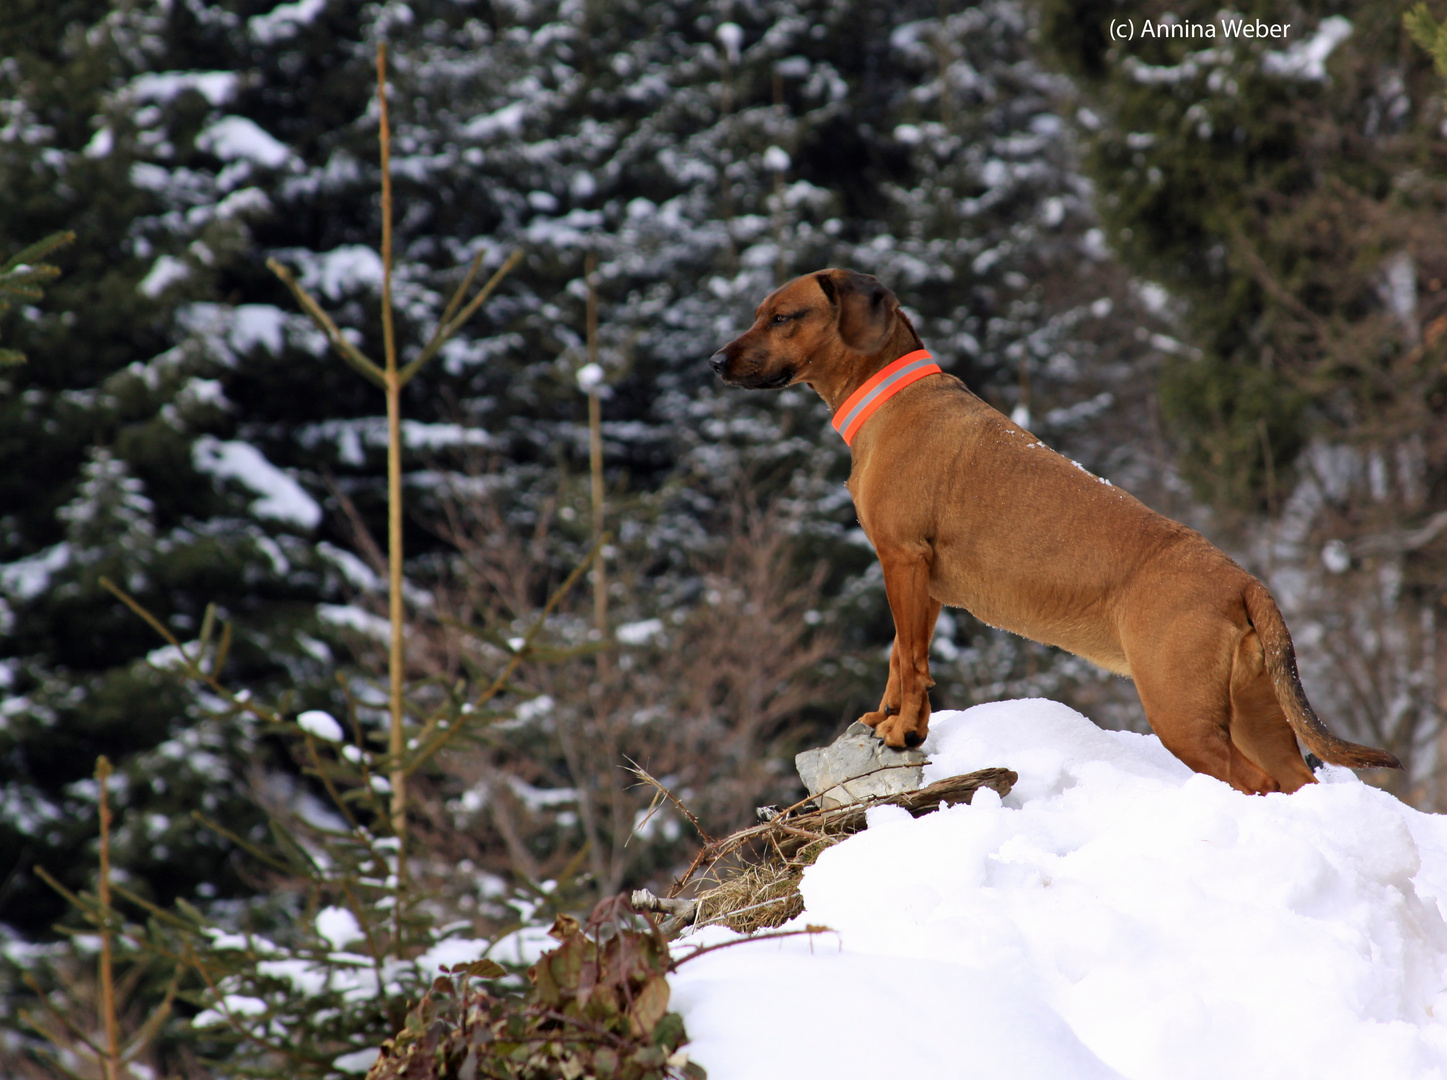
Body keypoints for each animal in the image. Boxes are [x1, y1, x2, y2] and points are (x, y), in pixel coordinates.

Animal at [711, 269, 1400, 793]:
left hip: (1184, 714)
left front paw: (903, 729)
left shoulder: (902, 558)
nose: (715, 361)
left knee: (1252, 782)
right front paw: (893, 721)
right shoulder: (921, 581)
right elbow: (902, 656)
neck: (890, 397)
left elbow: (908, 658)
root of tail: (1244, 583)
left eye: (782, 317)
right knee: (1295, 780)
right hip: (1257, 714)